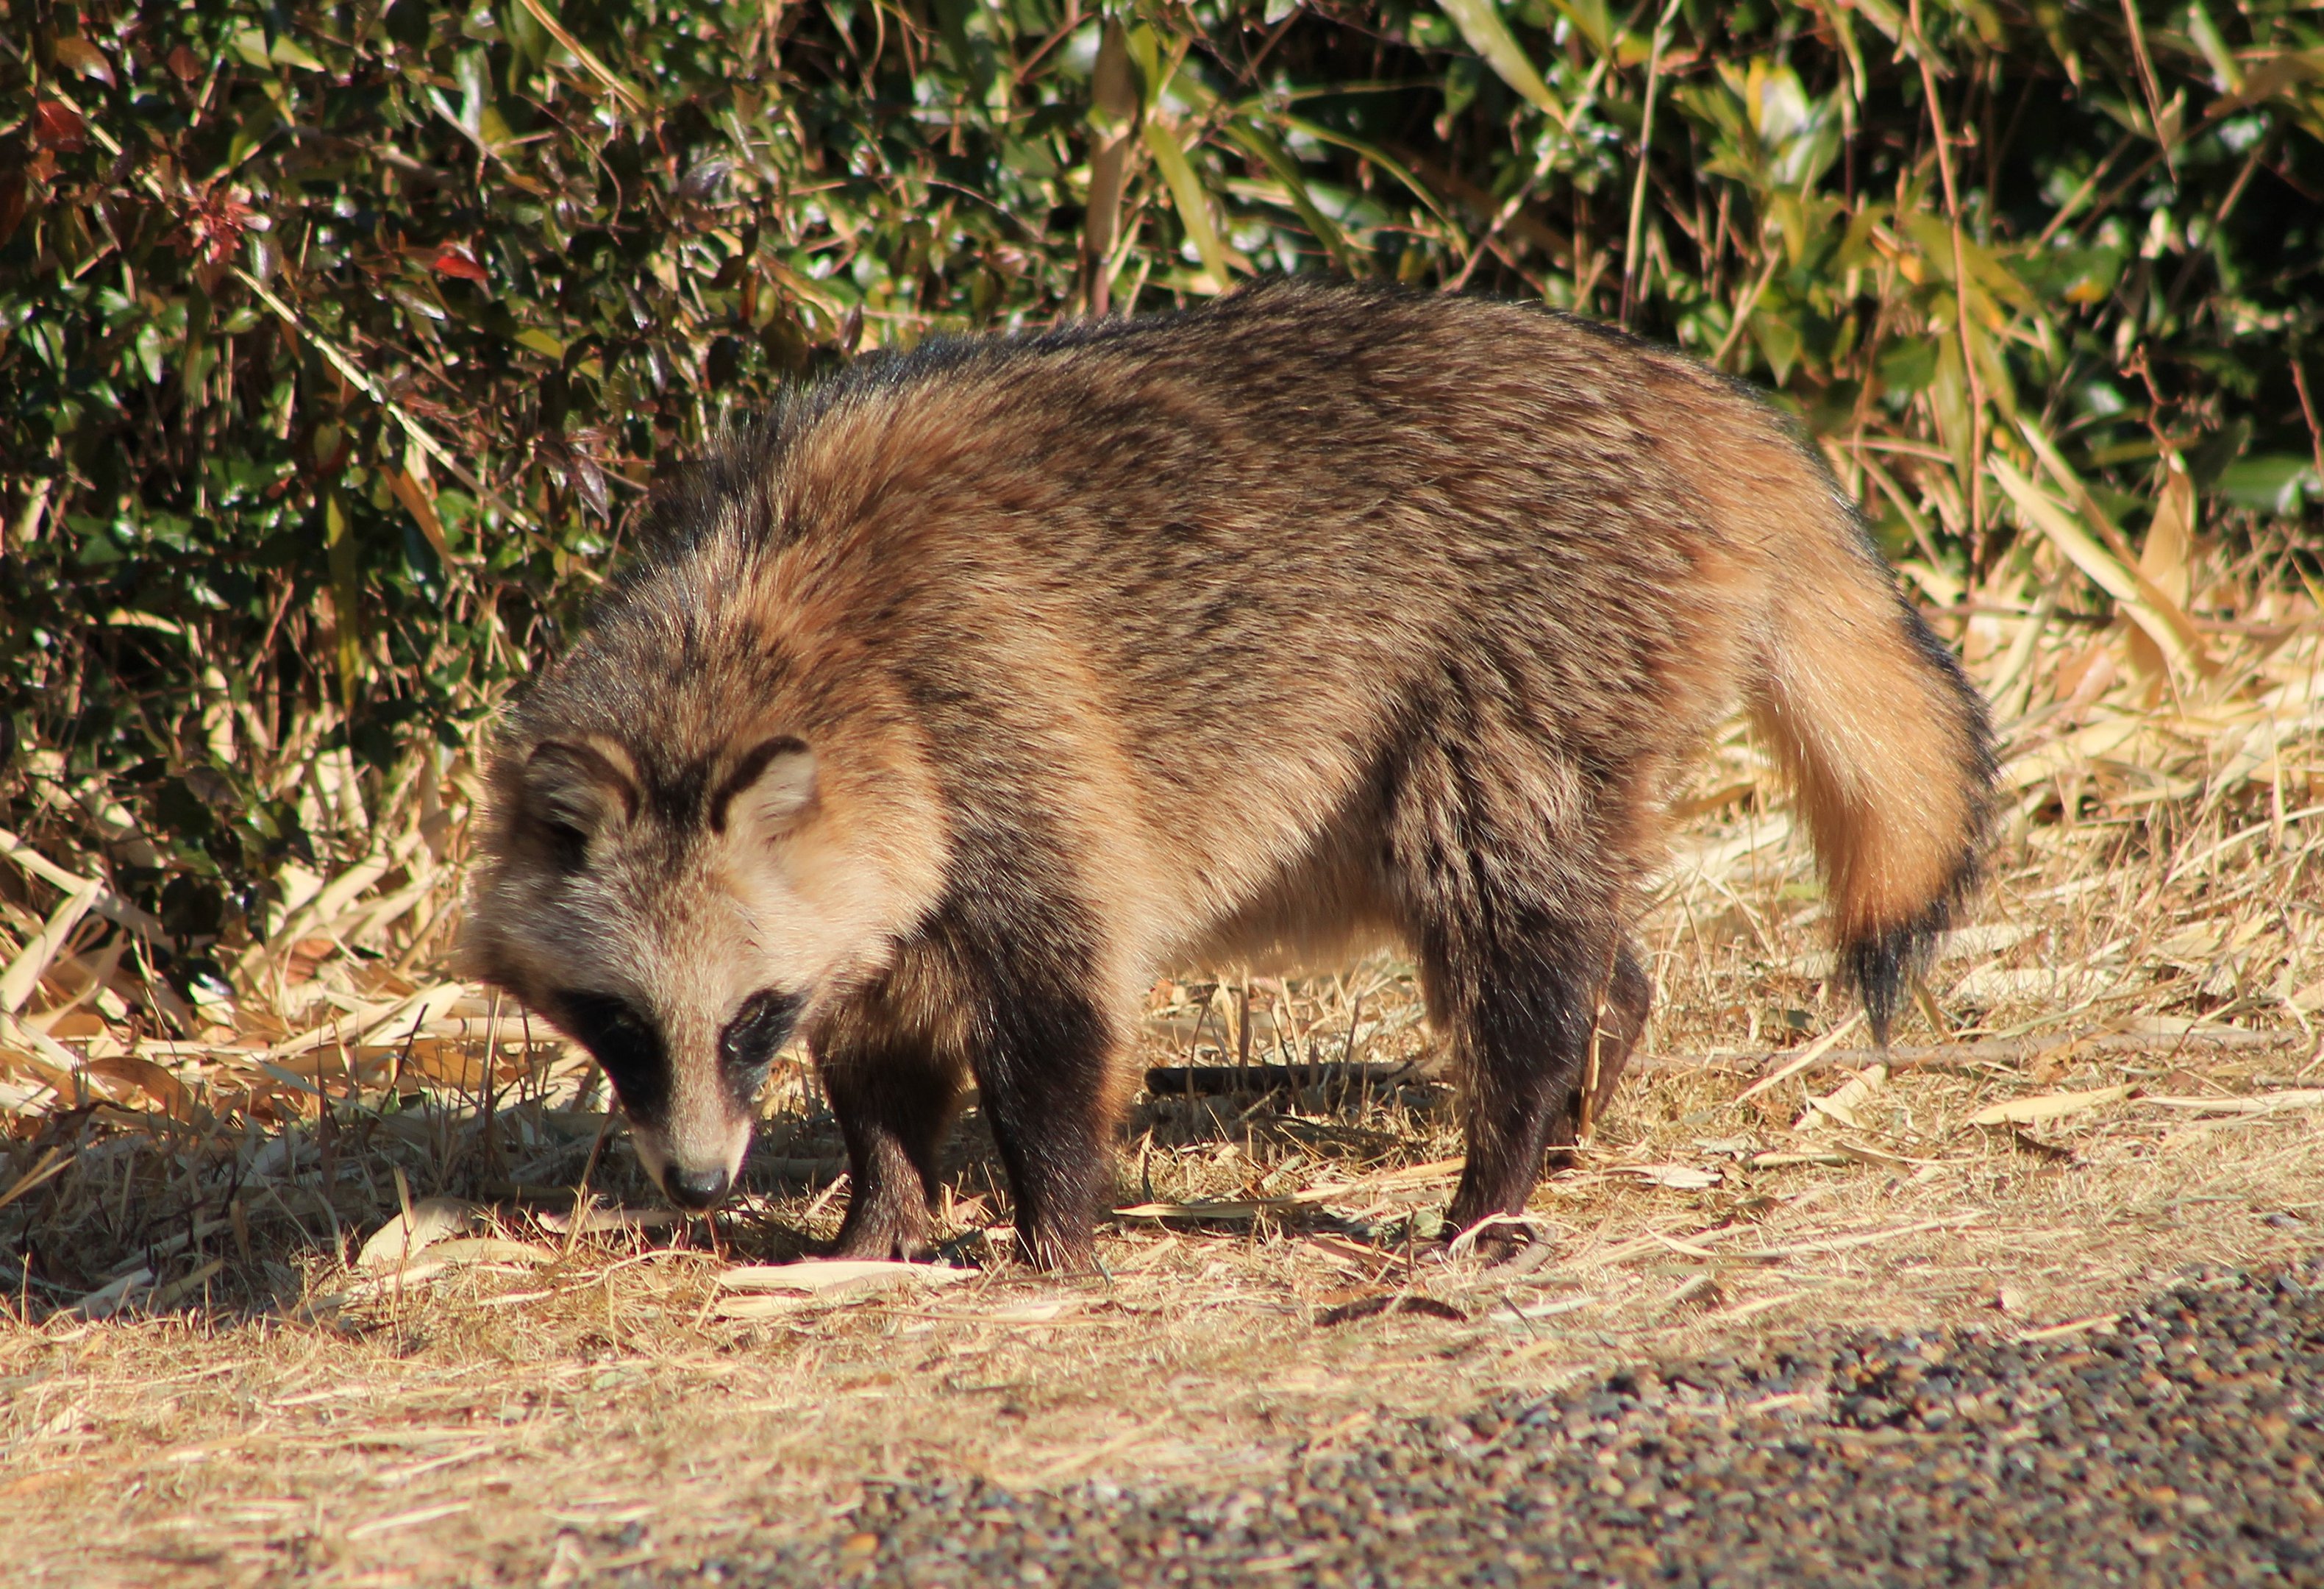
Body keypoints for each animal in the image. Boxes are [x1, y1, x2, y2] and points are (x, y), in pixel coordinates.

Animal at [462, 280, 1994, 1270]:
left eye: (746, 1020)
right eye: (618, 1021)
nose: (696, 1184)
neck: (787, 609)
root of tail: (1685, 397)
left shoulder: (1014, 744)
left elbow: (1055, 1025)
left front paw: (1051, 1238)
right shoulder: (879, 877)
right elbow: (884, 1054)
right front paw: (876, 1221)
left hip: (1518, 679)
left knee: (1512, 939)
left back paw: (1499, 1167)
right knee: (1590, 947)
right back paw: (1572, 1106)